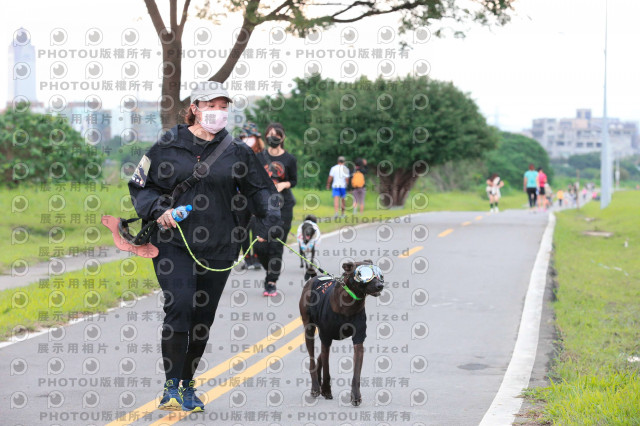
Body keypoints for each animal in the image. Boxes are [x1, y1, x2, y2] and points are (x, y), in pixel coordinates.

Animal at [298, 260, 382, 406]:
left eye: (379, 274)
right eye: (364, 274)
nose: (380, 285)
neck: (350, 304)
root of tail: (313, 279)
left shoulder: (359, 339)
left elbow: (356, 373)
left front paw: (355, 396)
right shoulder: (325, 338)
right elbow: (326, 368)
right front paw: (326, 390)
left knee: (319, 358)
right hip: (309, 329)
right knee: (313, 360)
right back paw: (315, 387)